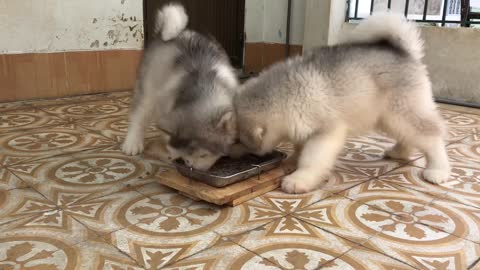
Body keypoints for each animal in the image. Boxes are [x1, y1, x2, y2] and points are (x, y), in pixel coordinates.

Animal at [122, 3, 238, 169]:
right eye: (185, 156)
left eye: (203, 155)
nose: (190, 166)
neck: (203, 88)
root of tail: (164, 34)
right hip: (149, 89)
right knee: (139, 115)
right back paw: (132, 143)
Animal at [232, 13, 450, 194]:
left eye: (236, 141)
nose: (227, 154)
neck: (286, 96)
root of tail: (404, 52)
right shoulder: (302, 127)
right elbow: (300, 148)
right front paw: (293, 161)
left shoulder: (325, 132)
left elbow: (312, 158)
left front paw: (299, 179)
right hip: (389, 118)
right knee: (409, 136)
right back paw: (399, 152)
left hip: (403, 111)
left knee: (431, 136)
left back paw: (438, 170)